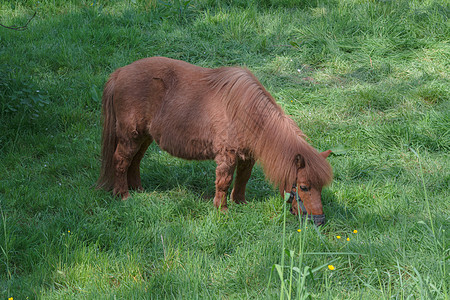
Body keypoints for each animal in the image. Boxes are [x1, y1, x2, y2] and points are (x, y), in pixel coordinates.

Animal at [96, 56, 332, 225]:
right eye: (304, 187)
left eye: (321, 186)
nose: (319, 220)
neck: (247, 113)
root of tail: (119, 73)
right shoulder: (227, 156)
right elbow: (224, 182)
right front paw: (222, 209)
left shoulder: (247, 157)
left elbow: (242, 179)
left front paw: (240, 203)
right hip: (130, 136)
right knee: (121, 161)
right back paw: (124, 195)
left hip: (144, 137)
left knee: (134, 162)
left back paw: (138, 190)